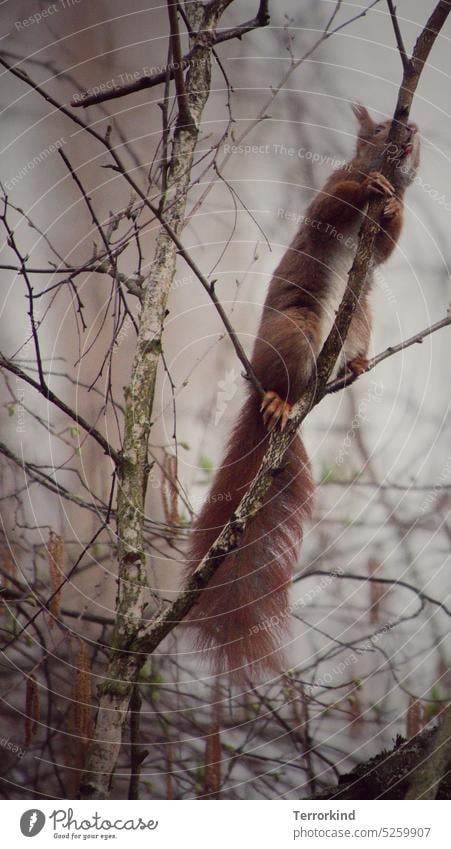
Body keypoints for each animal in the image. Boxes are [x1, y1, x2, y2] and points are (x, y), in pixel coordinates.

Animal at [184, 104, 420, 684]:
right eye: (377, 128)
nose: (410, 131)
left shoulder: (381, 245)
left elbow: (387, 244)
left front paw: (394, 204)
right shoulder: (327, 196)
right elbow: (332, 203)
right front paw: (370, 187)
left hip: (359, 318)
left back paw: (354, 366)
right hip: (297, 330)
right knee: (282, 379)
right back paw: (278, 400)